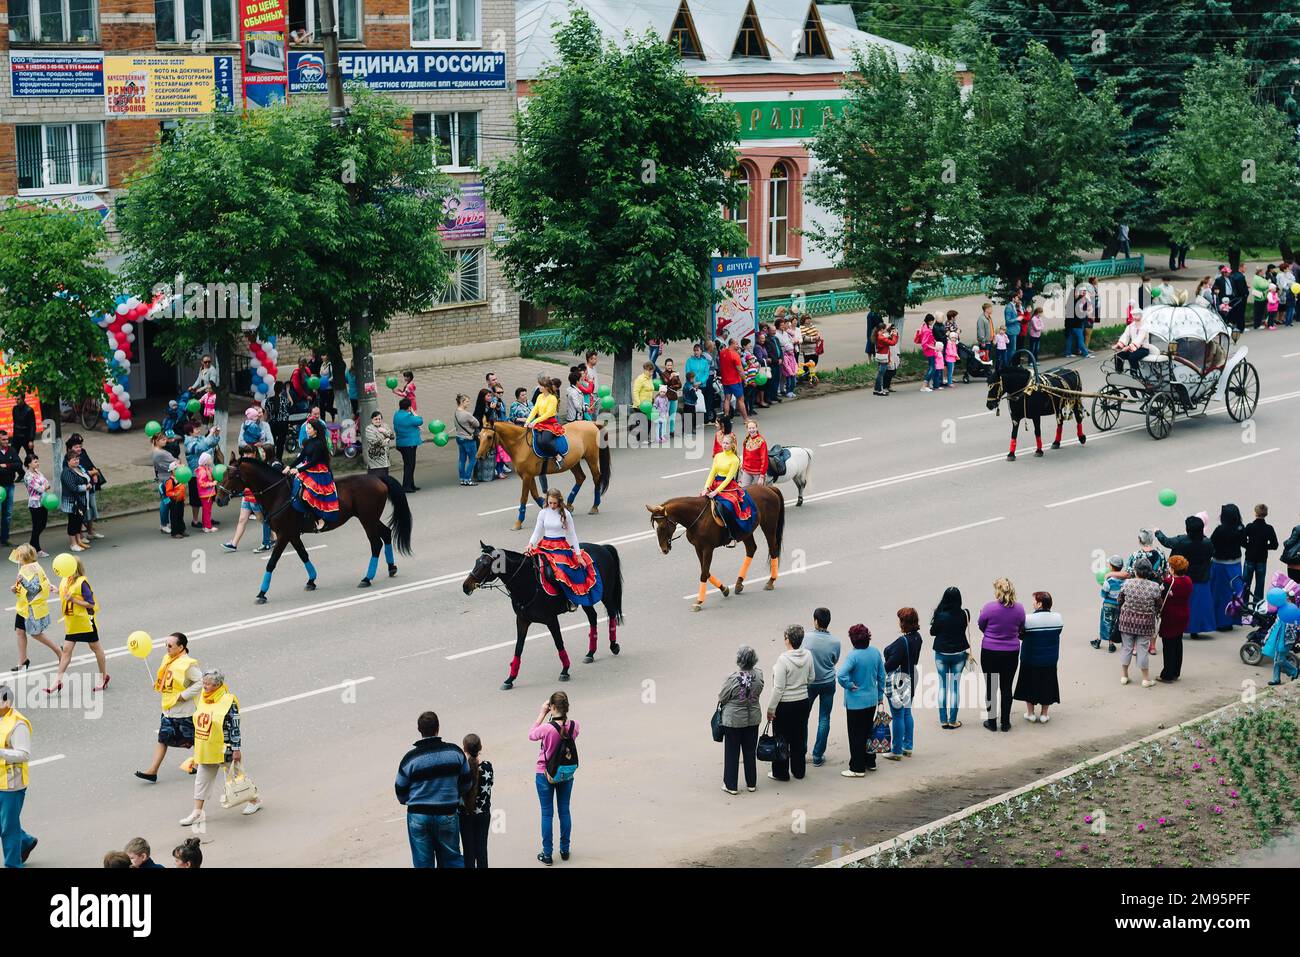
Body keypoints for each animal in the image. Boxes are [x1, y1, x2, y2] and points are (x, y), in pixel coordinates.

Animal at [218, 457, 410, 605]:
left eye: (231, 475)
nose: (219, 499)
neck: (279, 493)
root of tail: (378, 479)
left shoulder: (284, 535)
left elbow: (271, 563)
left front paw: (262, 593)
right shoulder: (293, 534)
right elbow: (303, 555)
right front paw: (311, 581)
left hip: (367, 520)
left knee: (376, 544)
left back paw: (367, 578)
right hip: (371, 519)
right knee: (386, 534)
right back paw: (391, 568)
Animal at [462, 540, 624, 691]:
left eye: (485, 564)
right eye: (477, 561)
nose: (465, 586)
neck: (529, 582)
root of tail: (602, 547)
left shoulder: (551, 619)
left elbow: (559, 643)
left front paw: (565, 670)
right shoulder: (522, 620)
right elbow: (518, 648)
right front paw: (510, 679)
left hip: (605, 594)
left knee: (611, 613)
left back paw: (613, 646)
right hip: (585, 599)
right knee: (593, 618)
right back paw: (590, 653)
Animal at [480, 421, 611, 530]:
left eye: (489, 437)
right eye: (479, 436)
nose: (479, 456)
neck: (520, 444)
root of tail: (592, 423)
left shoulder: (527, 476)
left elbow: (524, 498)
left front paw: (518, 523)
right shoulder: (528, 476)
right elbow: (535, 495)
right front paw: (551, 507)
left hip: (591, 458)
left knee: (596, 478)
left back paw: (594, 506)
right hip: (573, 462)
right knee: (580, 478)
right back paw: (569, 505)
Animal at [647, 486, 785, 613]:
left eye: (663, 527)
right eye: (654, 527)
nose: (663, 549)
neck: (698, 517)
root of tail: (768, 487)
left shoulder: (708, 549)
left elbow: (703, 573)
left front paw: (699, 602)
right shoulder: (698, 548)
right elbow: (706, 571)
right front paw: (724, 589)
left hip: (769, 527)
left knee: (773, 549)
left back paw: (770, 581)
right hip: (746, 531)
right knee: (751, 549)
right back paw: (739, 584)